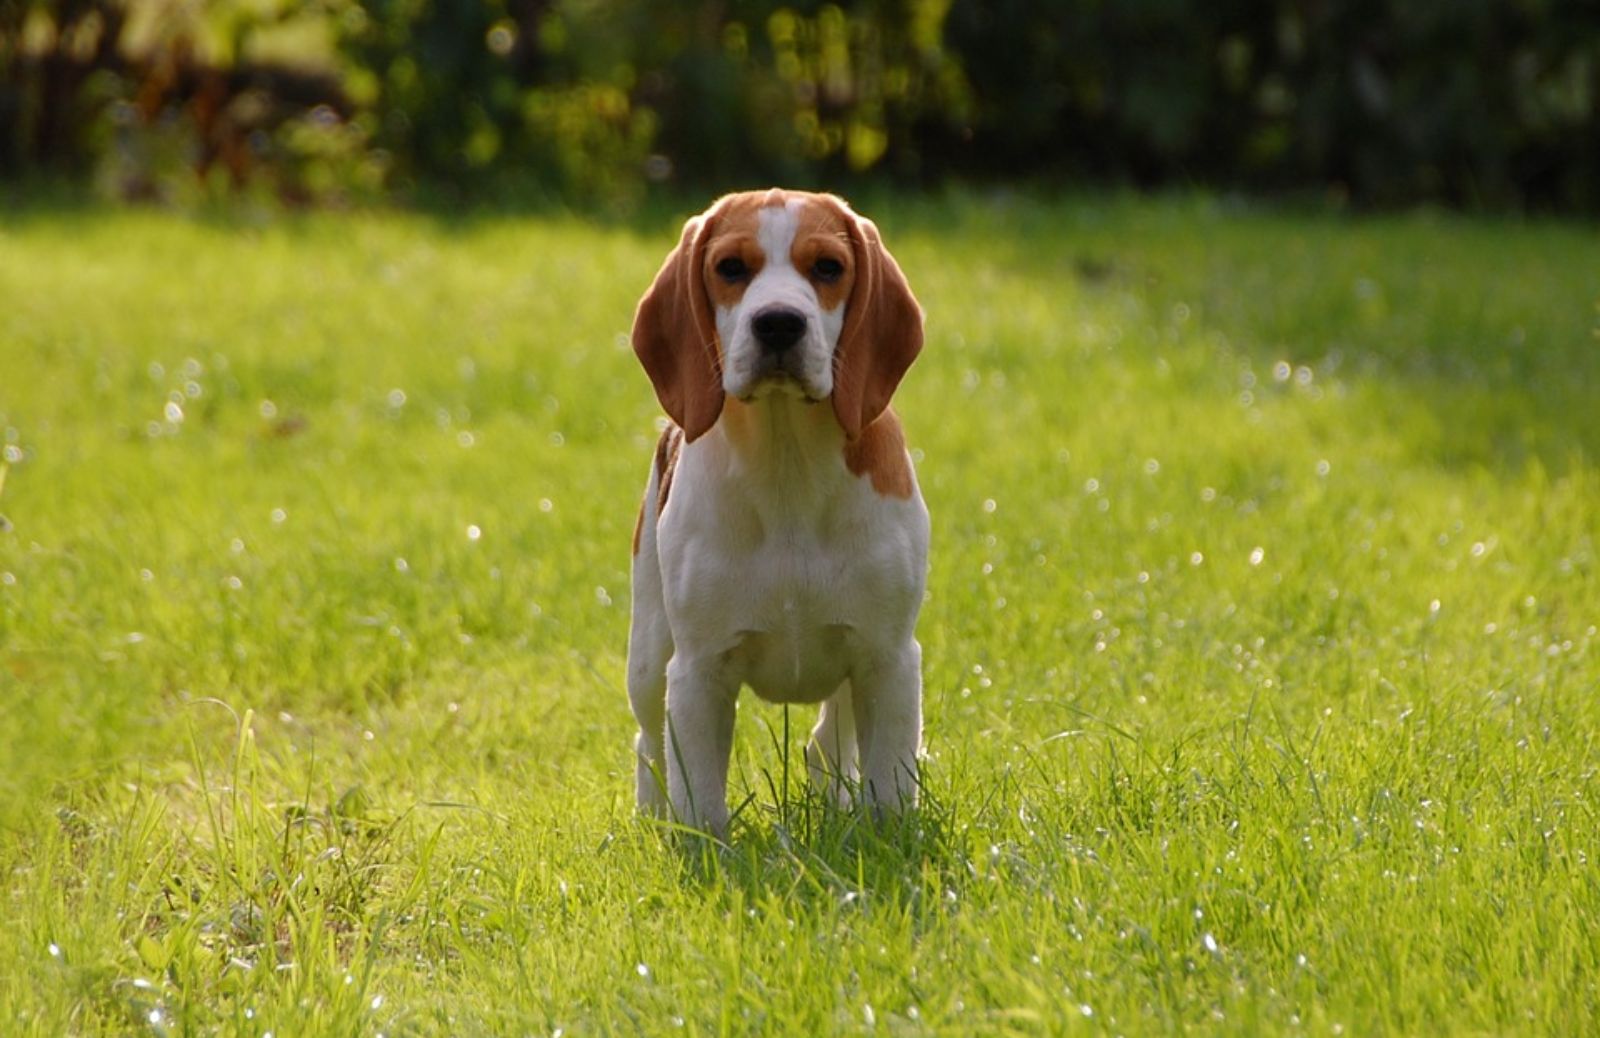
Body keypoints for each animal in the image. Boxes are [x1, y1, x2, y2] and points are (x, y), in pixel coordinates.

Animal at [620, 187, 928, 831]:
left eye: (828, 268)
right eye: (731, 268)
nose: (779, 322)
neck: (787, 461)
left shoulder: (888, 659)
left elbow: (889, 785)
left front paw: (885, 837)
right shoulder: (698, 671)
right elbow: (699, 798)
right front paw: (700, 845)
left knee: (826, 741)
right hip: (649, 658)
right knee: (649, 743)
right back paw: (651, 820)